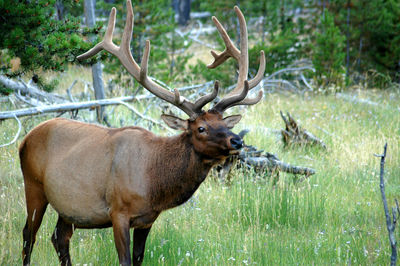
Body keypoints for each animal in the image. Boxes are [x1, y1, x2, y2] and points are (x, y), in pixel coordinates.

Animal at [18, 1, 264, 264]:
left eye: (227, 125)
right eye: (201, 128)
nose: (237, 141)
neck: (154, 182)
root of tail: (24, 140)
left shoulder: (148, 219)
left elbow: (138, 258)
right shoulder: (118, 211)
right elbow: (125, 259)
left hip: (69, 207)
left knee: (59, 238)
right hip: (33, 186)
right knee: (29, 235)